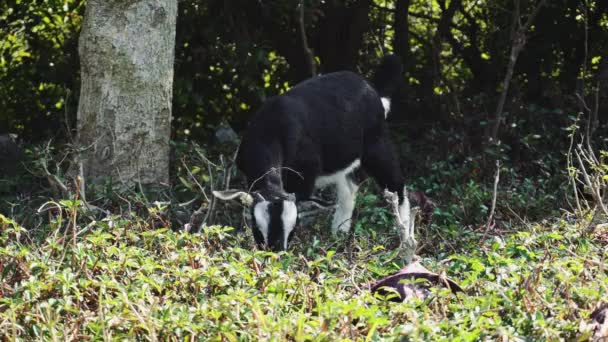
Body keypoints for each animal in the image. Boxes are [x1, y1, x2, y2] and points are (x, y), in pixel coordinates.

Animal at [213, 56, 408, 251]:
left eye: (293, 228)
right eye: (256, 226)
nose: (277, 252)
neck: (270, 131)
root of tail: (371, 89)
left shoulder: (304, 172)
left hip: (376, 144)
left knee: (396, 185)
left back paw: (406, 239)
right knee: (349, 189)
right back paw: (338, 234)